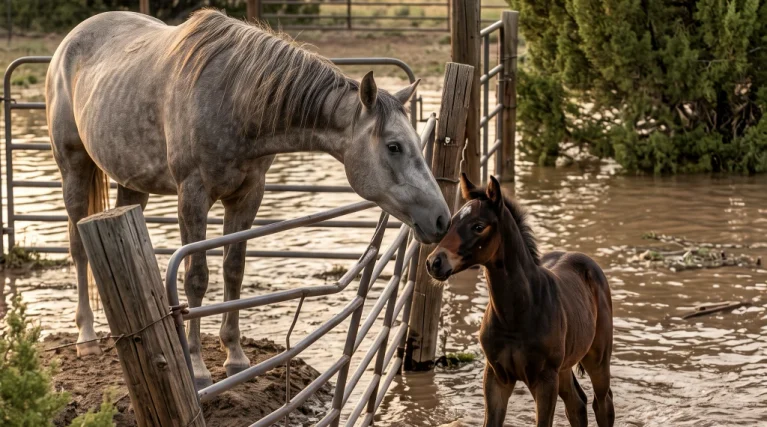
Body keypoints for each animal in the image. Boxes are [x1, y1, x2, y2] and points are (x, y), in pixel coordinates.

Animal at [46, 9, 450, 388]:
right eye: (394, 146)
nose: (441, 219)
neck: (236, 100)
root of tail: (71, 40)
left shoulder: (247, 195)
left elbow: (234, 269)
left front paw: (235, 356)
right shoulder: (192, 195)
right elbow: (196, 277)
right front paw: (196, 367)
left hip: (132, 183)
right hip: (74, 169)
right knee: (78, 247)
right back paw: (87, 337)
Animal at [426, 174, 615, 427]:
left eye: (478, 226)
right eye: (452, 222)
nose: (434, 262)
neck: (516, 313)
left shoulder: (544, 380)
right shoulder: (496, 377)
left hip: (597, 358)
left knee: (602, 403)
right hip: (564, 368)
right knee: (577, 403)